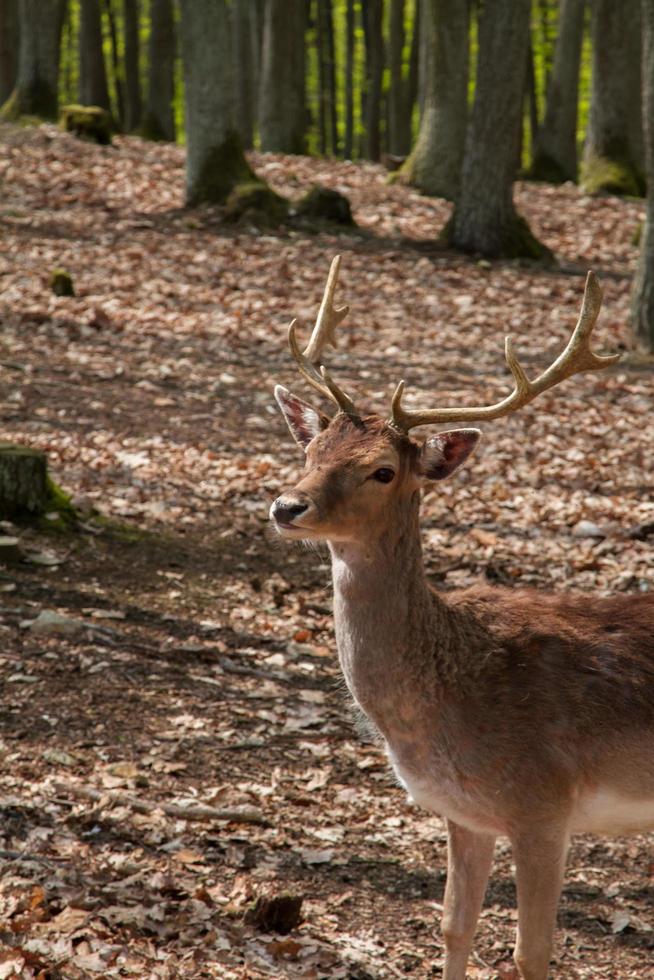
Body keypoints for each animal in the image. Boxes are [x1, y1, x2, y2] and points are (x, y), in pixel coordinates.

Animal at [270, 258, 652, 980]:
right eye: (310, 451)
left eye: (382, 471)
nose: (286, 505)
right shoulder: (464, 814)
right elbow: (454, 926)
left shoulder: (543, 805)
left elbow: (531, 953)